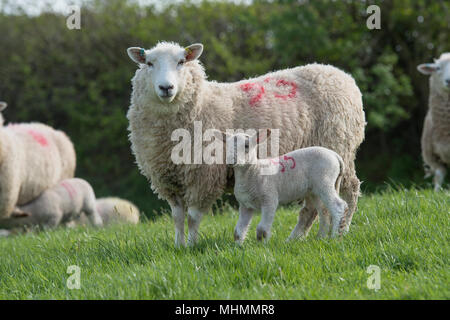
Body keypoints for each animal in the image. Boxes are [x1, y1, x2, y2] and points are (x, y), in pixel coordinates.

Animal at [216, 130, 346, 242]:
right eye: (226, 146)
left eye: (247, 146)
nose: (231, 160)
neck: (254, 171)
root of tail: (335, 155)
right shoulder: (245, 205)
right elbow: (238, 231)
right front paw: (238, 246)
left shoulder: (269, 198)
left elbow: (262, 229)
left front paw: (262, 245)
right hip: (315, 190)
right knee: (324, 211)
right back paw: (321, 237)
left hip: (324, 180)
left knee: (338, 206)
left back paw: (335, 237)